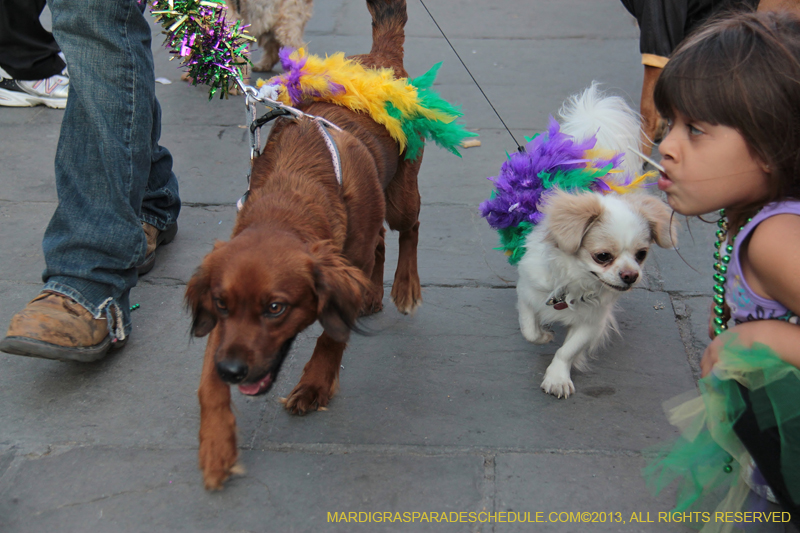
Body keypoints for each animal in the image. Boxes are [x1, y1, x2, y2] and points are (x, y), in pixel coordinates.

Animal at [185, 0, 422, 490]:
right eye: (221, 304)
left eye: (276, 308)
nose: (232, 371)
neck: (288, 200)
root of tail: (379, 59)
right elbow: (207, 385)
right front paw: (217, 446)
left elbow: (332, 338)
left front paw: (314, 385)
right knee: (378, 244)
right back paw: (373, 293)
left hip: (401, 196)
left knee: (409, 228)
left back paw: (405, 286)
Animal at [516, 85, 680, 396]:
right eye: (602, 256)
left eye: (641, 255)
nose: (630, 275)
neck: (575, 281)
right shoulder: (528, 292)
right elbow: (528, 330)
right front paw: (543, 335)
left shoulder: (594, 320)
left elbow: (568, 350)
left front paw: (557, 376)